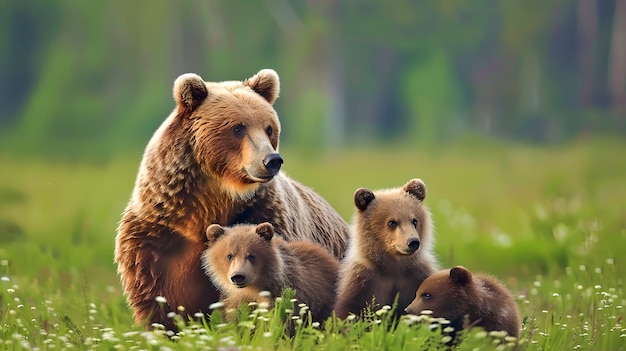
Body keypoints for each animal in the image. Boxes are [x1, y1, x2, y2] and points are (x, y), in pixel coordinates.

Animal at [201, 224, 338, 324]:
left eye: (251, 255)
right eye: (229, 256)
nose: (238, 276)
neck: (255, 288)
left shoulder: (290, 293)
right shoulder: (237, 300)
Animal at [332, 179, 438, 320]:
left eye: (414, 221)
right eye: (392, 222)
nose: (413, 242)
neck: (394, 266)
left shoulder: (418, 275)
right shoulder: (363, 281)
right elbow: (348, 310)